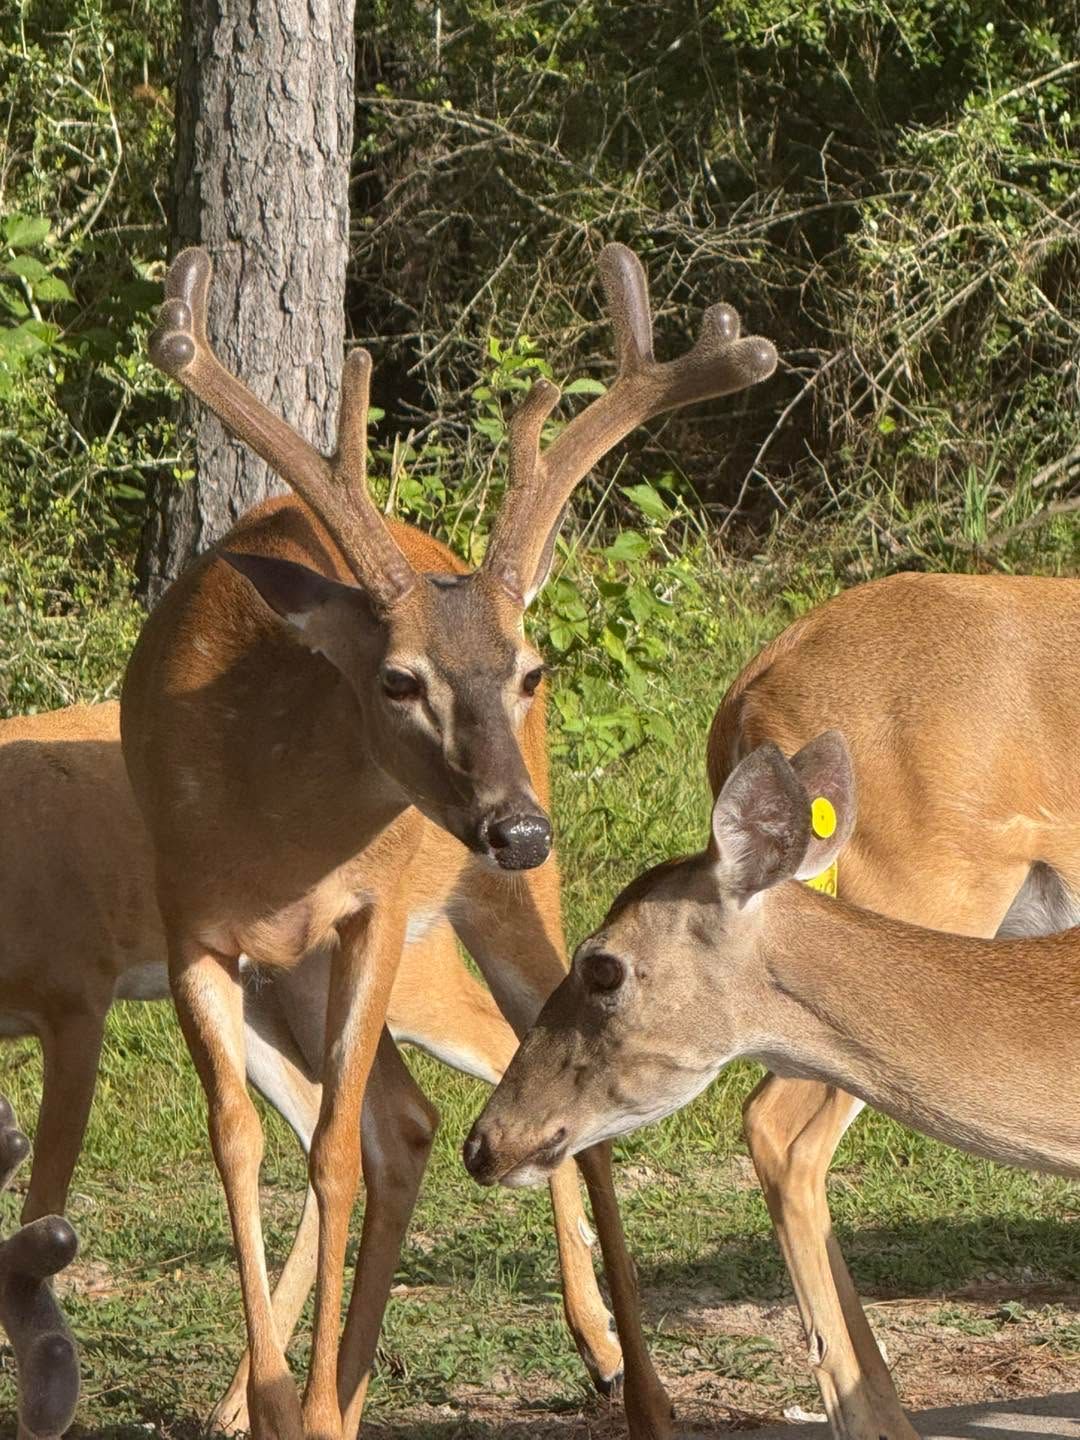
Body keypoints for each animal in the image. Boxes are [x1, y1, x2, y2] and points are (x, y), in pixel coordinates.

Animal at [0, 698, 632, 1434]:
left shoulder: (76, 999)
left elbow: (43, 1206)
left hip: (414, 960)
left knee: (498, 1053)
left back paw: (601, 1346)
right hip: (272, 991)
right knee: (361, 1122)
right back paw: (248, 1402)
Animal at [119, 238, 777, 1440]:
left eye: (529, 670)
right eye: (397, 678)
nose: (516, 826)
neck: (272, 830)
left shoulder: (373, 910)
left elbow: (332, 1153)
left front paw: (301, 1401)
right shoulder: (189, 915)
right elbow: (239, 1140)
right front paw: (280, 1400)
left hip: (505, 907)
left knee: (528, 1117)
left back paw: (635, 1386)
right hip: (311, 971)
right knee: (410, 1121)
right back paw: (344, 1394)